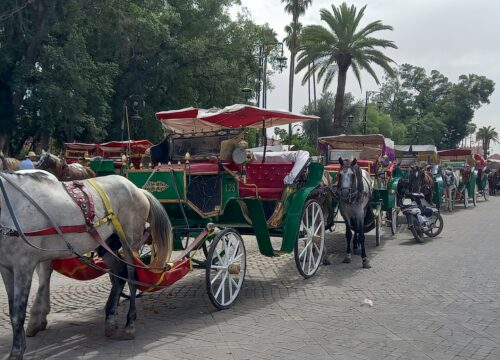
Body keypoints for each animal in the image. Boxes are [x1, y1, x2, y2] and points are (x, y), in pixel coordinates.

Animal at [0, 173, 172, 358]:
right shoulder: (6, 268)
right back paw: (110, 319)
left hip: (130, 243)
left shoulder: (24, 266)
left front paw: (17, 351)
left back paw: (130, 324)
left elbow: (18, 312)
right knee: (119, 273)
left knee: (132, 277)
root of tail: (136, 188)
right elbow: (12, 311)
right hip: (106, 244)